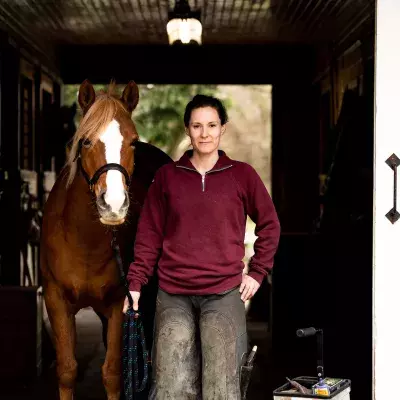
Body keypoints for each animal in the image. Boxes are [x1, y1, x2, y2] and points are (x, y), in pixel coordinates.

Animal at [40, 79, 170, 398]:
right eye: (86, 141)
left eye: (132, 142)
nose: (113, 204)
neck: (84, 241)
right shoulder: (56, 299)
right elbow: (67, 370)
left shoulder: (119, 304)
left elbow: (113, 373)